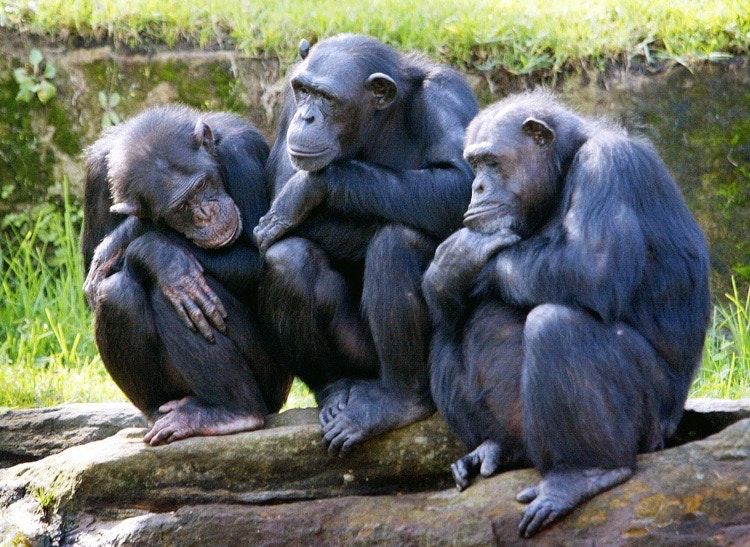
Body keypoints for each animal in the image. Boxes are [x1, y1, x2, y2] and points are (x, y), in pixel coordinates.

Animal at [82, 105, 292, 448]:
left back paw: (233, 412)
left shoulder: (243, 154)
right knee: (116, 293)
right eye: (181, 206)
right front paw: (162, 256)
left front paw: (143, 243)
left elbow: (261, 254)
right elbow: (91, 284)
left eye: (202, 186)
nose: (206, 214)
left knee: (172, 297)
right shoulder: (95, 175)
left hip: (273, 378)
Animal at [250, 33, 478, 454]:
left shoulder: (445, 99)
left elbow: (465, 186)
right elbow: (279, 197)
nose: (307, 117)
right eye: (304, 91)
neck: (378, 122)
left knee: (398, 240)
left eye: (326, 98)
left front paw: (312, 187)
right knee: (288, 257)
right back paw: (334, 389)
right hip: (356, 357)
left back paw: (396, 400)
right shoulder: (288, 105)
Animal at [424, 91, 712, 540]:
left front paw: (461, 256)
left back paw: (582, 473)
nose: (477, 186)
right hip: (526, 437)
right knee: (450, 327)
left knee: (556, 327)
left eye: (491, 161)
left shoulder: (607, 167)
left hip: (651, 423)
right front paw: (444, 274)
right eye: (474, 163)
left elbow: (592, 266)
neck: (563, 169)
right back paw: (494, 447)